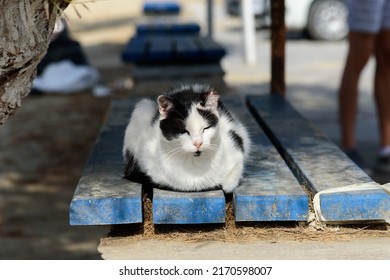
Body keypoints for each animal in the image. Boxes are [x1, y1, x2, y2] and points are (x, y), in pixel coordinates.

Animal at [122, 83, 250, 192]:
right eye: (184, 131)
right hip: (142, 107)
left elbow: (231, 181)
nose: (198, 143)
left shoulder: (236, 147)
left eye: (206, 128)